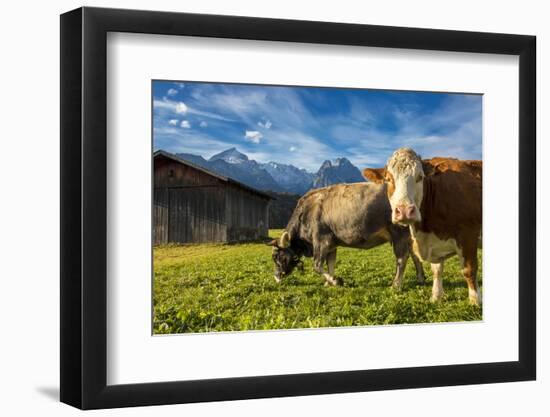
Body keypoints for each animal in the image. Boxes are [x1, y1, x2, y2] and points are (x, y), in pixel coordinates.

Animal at [268, 182, 426, 286]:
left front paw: (335, 281)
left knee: (402, 258)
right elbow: (330, 264)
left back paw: (396, 284)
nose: (276, 277)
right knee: (414, 255)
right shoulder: (332, 243)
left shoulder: (321, 240)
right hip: (409, 235)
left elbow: (317, 265)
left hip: (398, 231)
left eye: (278, 257)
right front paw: (329, 283)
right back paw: (420, 278)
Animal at [364, 148, 486, 304]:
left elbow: (469, 269)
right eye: (389, 179)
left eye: (420, 177)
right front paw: (436, 296)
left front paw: (475, 301)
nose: (404, 211)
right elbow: (437, 270)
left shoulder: (468, 233)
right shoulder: (434, 242)